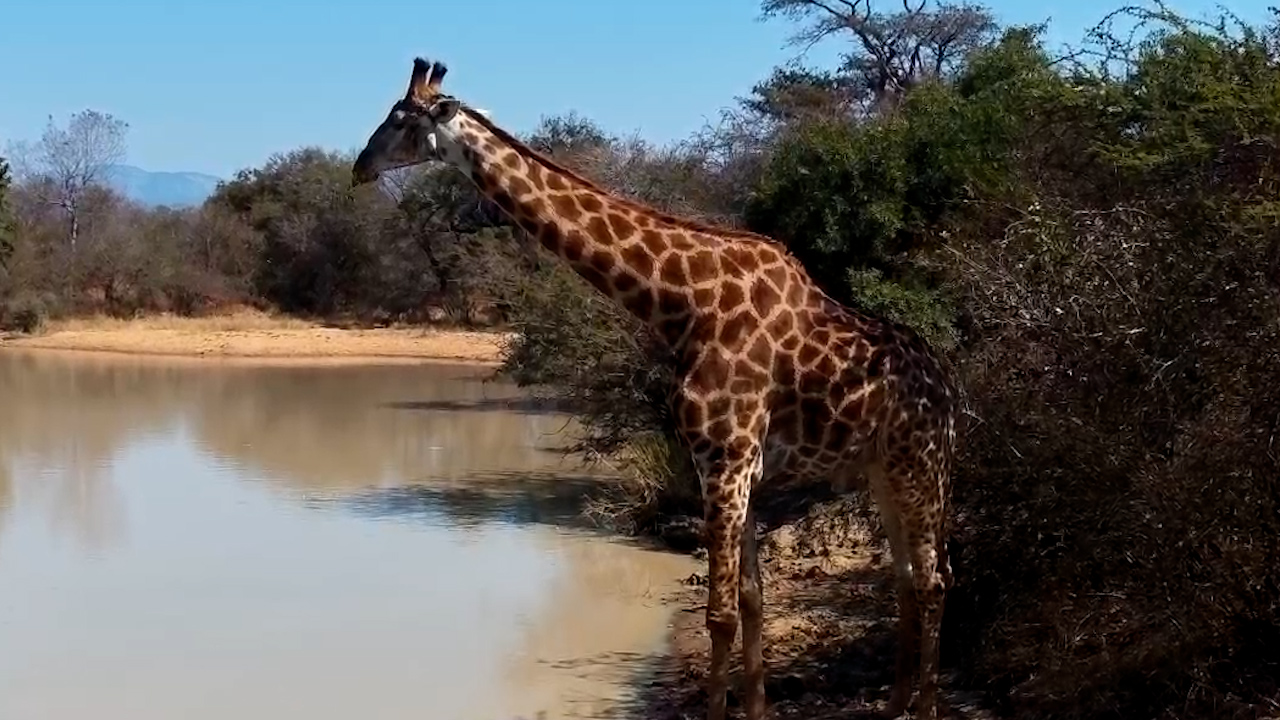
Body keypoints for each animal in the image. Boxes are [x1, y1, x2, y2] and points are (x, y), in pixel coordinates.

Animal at [350, 58, 959, 720]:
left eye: (399, 120)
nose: (359, 167)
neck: (681, 303)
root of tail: (950, 391)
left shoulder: (726, 458)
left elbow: (720, 614)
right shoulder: (735, 463)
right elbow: (752, 600)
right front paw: (757, 708)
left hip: (920, 466)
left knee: (935, 580)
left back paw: (926, 708)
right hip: (880, 469)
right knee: (907, 577)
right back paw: (895, 704)